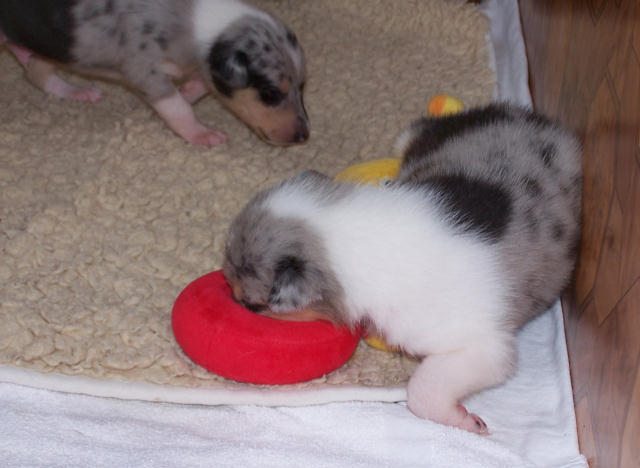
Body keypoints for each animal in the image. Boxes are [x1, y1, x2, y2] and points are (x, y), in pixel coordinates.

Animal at [0, 0, 308, 146]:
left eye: (302, 87)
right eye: (271, 93)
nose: (304, 137)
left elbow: (199, 85)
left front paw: (188, 91)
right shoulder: (145, 71)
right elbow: (177, 108)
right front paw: (201, 133)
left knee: (36, 72)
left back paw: (76, 90)